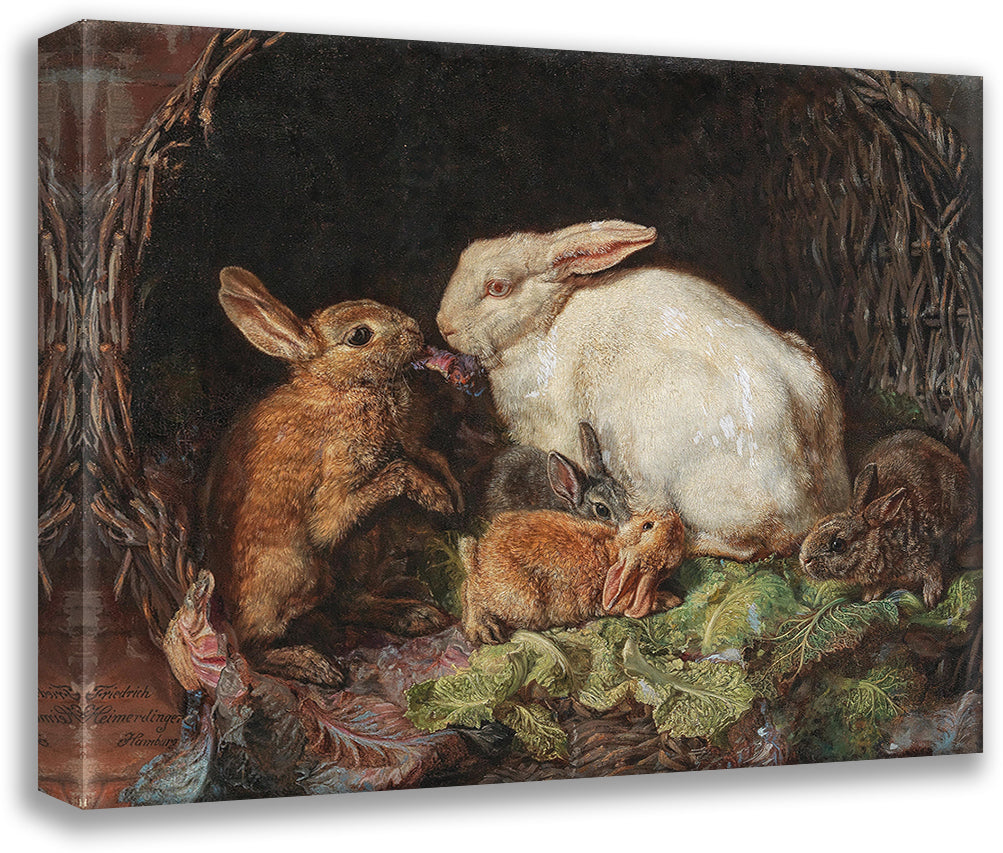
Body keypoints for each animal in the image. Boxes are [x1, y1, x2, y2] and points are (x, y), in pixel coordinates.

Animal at [203, 267, 463, 682]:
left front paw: (454, 495)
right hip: (295, 572)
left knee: (347, 601)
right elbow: (390, 477)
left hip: (362, 546)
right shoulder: (336, 479)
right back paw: (313, 665)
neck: (340, 388)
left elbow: (428, 455)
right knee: (251, 646)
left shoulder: (409, 446)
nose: (416, 331)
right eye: (360, 336)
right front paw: (437, 497)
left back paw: (414, 614)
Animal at [460, 508, 685, 644]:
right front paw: (669, 599)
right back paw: (482, 629)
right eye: (648, 525)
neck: (613, 554)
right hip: (520, 598)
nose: (674, 514)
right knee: (472, 590)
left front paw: (671, 599)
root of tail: (481, 558)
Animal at [798, 430, 977, 608]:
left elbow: (934, 567)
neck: (887, 543)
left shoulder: (935, 546)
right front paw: (870, 594)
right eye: (819, 523)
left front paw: (931, 597)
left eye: (838, 545)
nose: (804, 559)